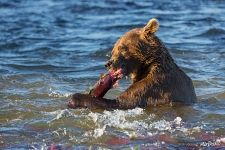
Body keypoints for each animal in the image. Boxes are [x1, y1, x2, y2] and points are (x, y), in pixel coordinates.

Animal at [68, 18, 197, 110]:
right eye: (113, 51)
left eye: (122, 48)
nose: (108, 64)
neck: (147, 66)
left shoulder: (155, 86)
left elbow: (122, 102)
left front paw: (75, 98)